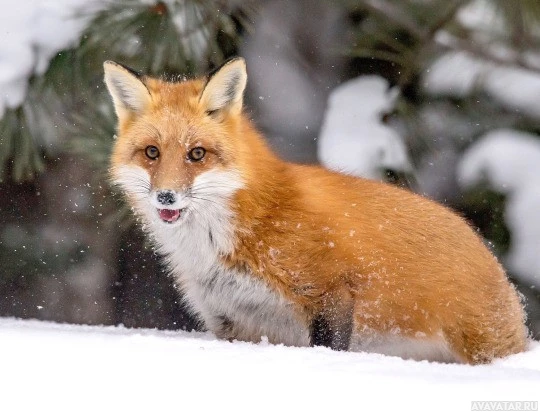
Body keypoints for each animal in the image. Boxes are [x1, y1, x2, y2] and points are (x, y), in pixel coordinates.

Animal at [104, 57, 528, 360]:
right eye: (152, 153)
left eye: (197, 154)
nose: (166, 197)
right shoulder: (231, 320)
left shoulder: (329, 291)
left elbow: (326, 348)